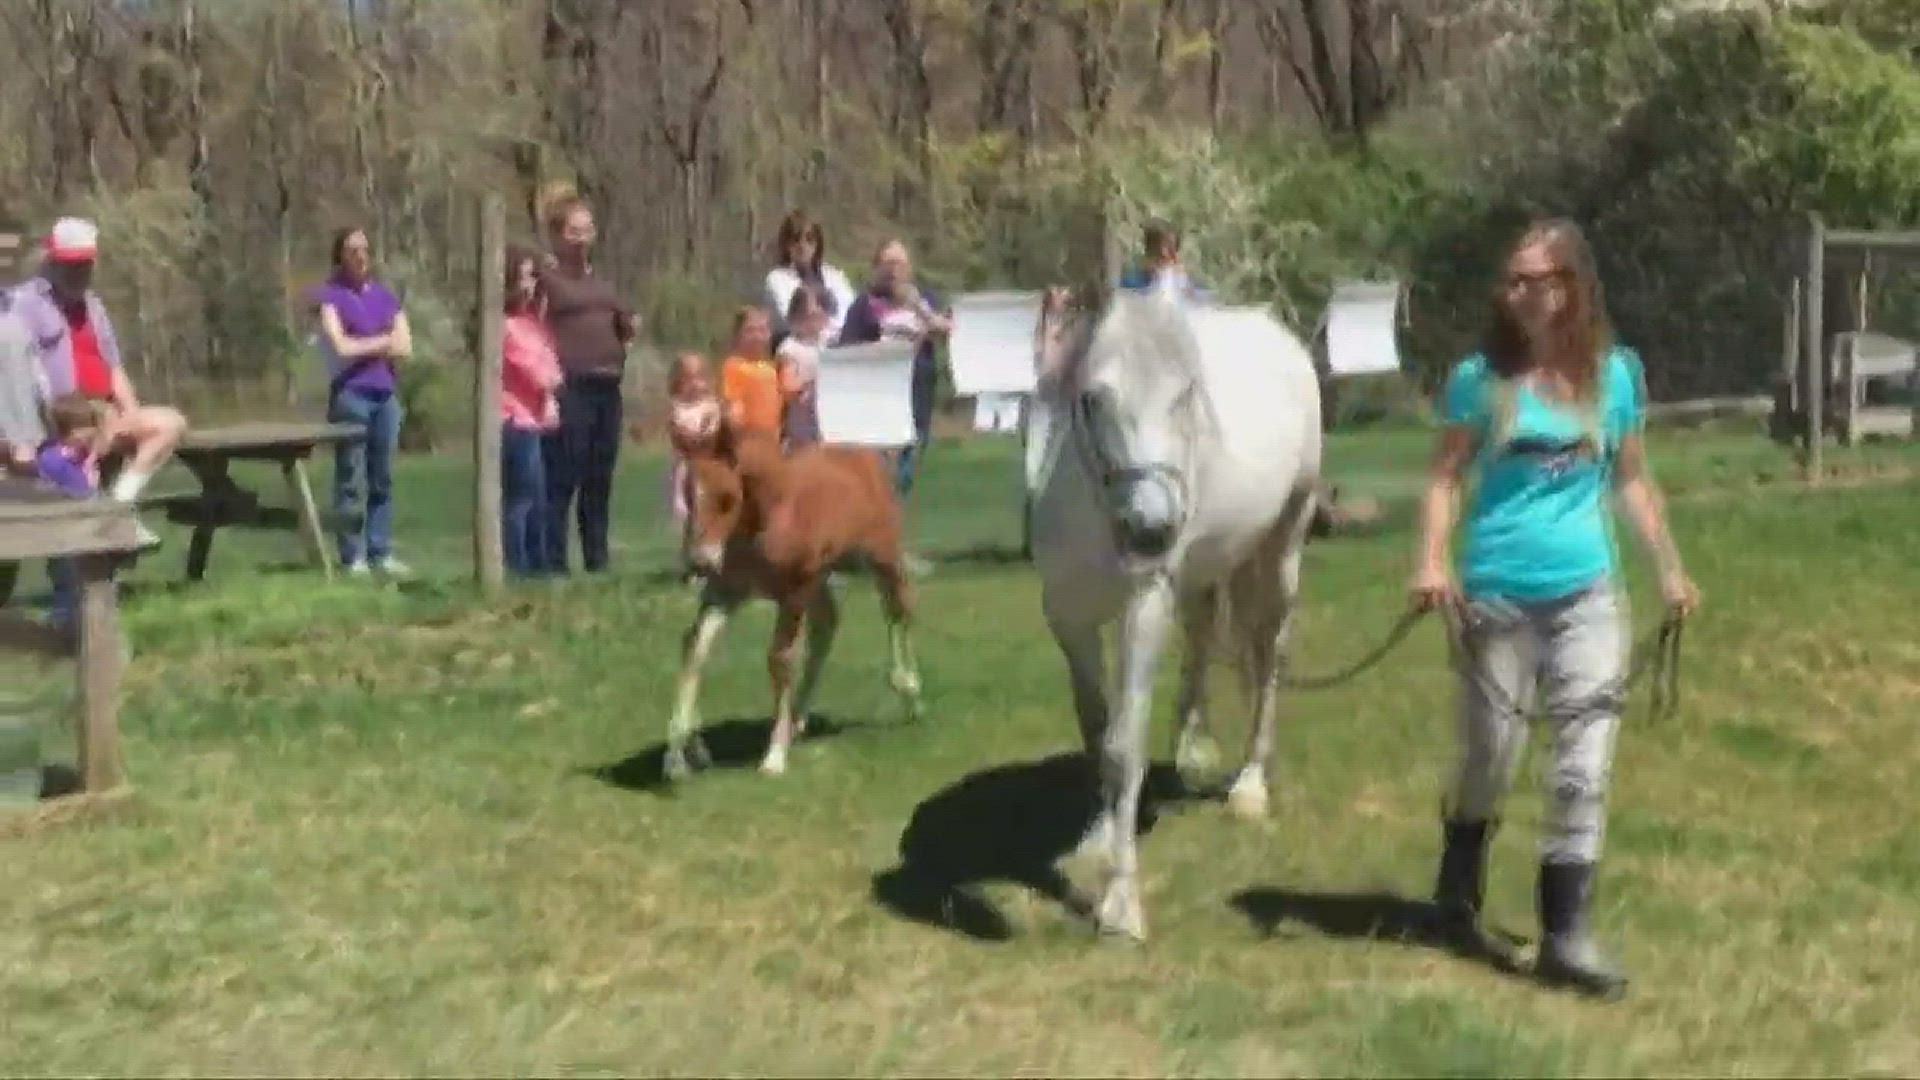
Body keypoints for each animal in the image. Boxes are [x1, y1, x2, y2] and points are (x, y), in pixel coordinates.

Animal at [1036, 284, 1320, 933]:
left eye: (1185, 393)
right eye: (1092, 398)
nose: (1151, 531)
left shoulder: (1144, 605)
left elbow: (1125, 746)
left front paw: (1120, 904)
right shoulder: (1068, 620)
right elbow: (1098, 733)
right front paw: (1096, 840)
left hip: (1282, 548)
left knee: (1268, 657)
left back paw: (1249, 788)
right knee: (1203, 633)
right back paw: (1194, 750)